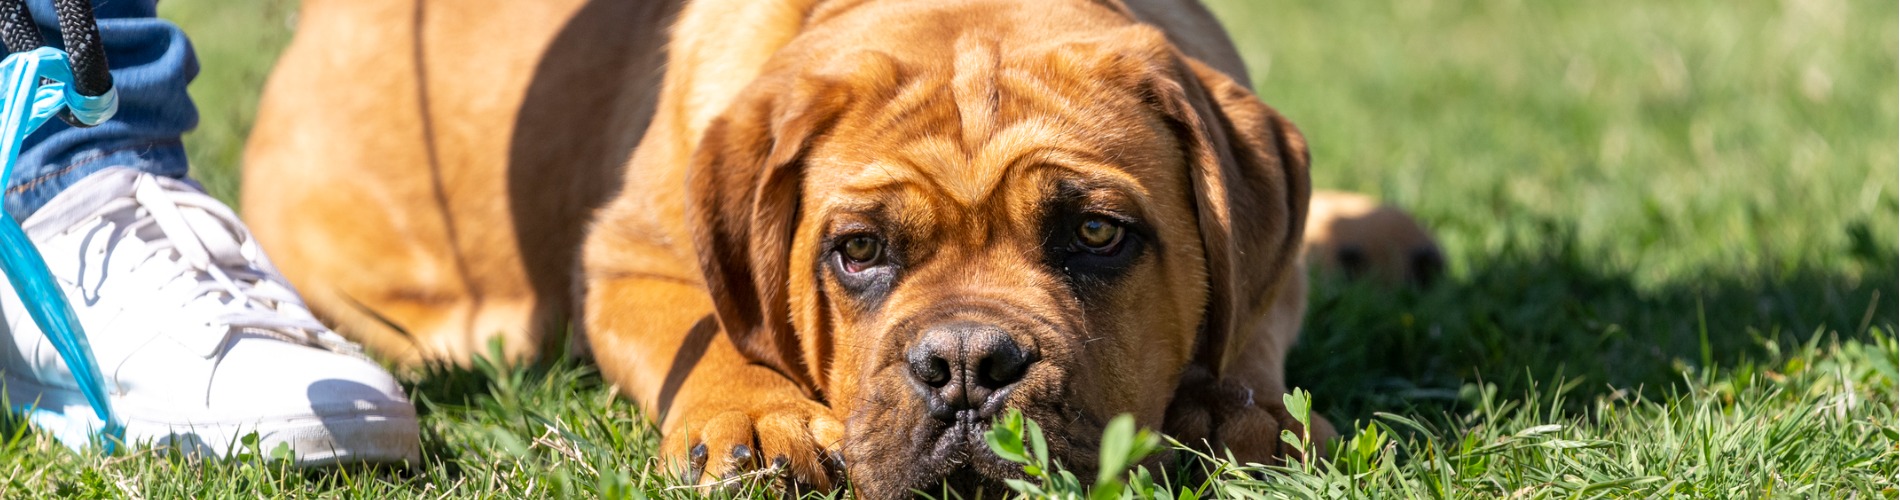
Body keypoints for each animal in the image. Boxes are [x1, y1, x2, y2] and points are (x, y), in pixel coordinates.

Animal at [245, 0, 1337, 494]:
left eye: (1097, 234)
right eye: (858, 250)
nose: (968, 366)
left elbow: (1251, 331)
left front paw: (1240, 412)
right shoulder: (631, 258)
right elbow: (708, 329)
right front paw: (761, 421)